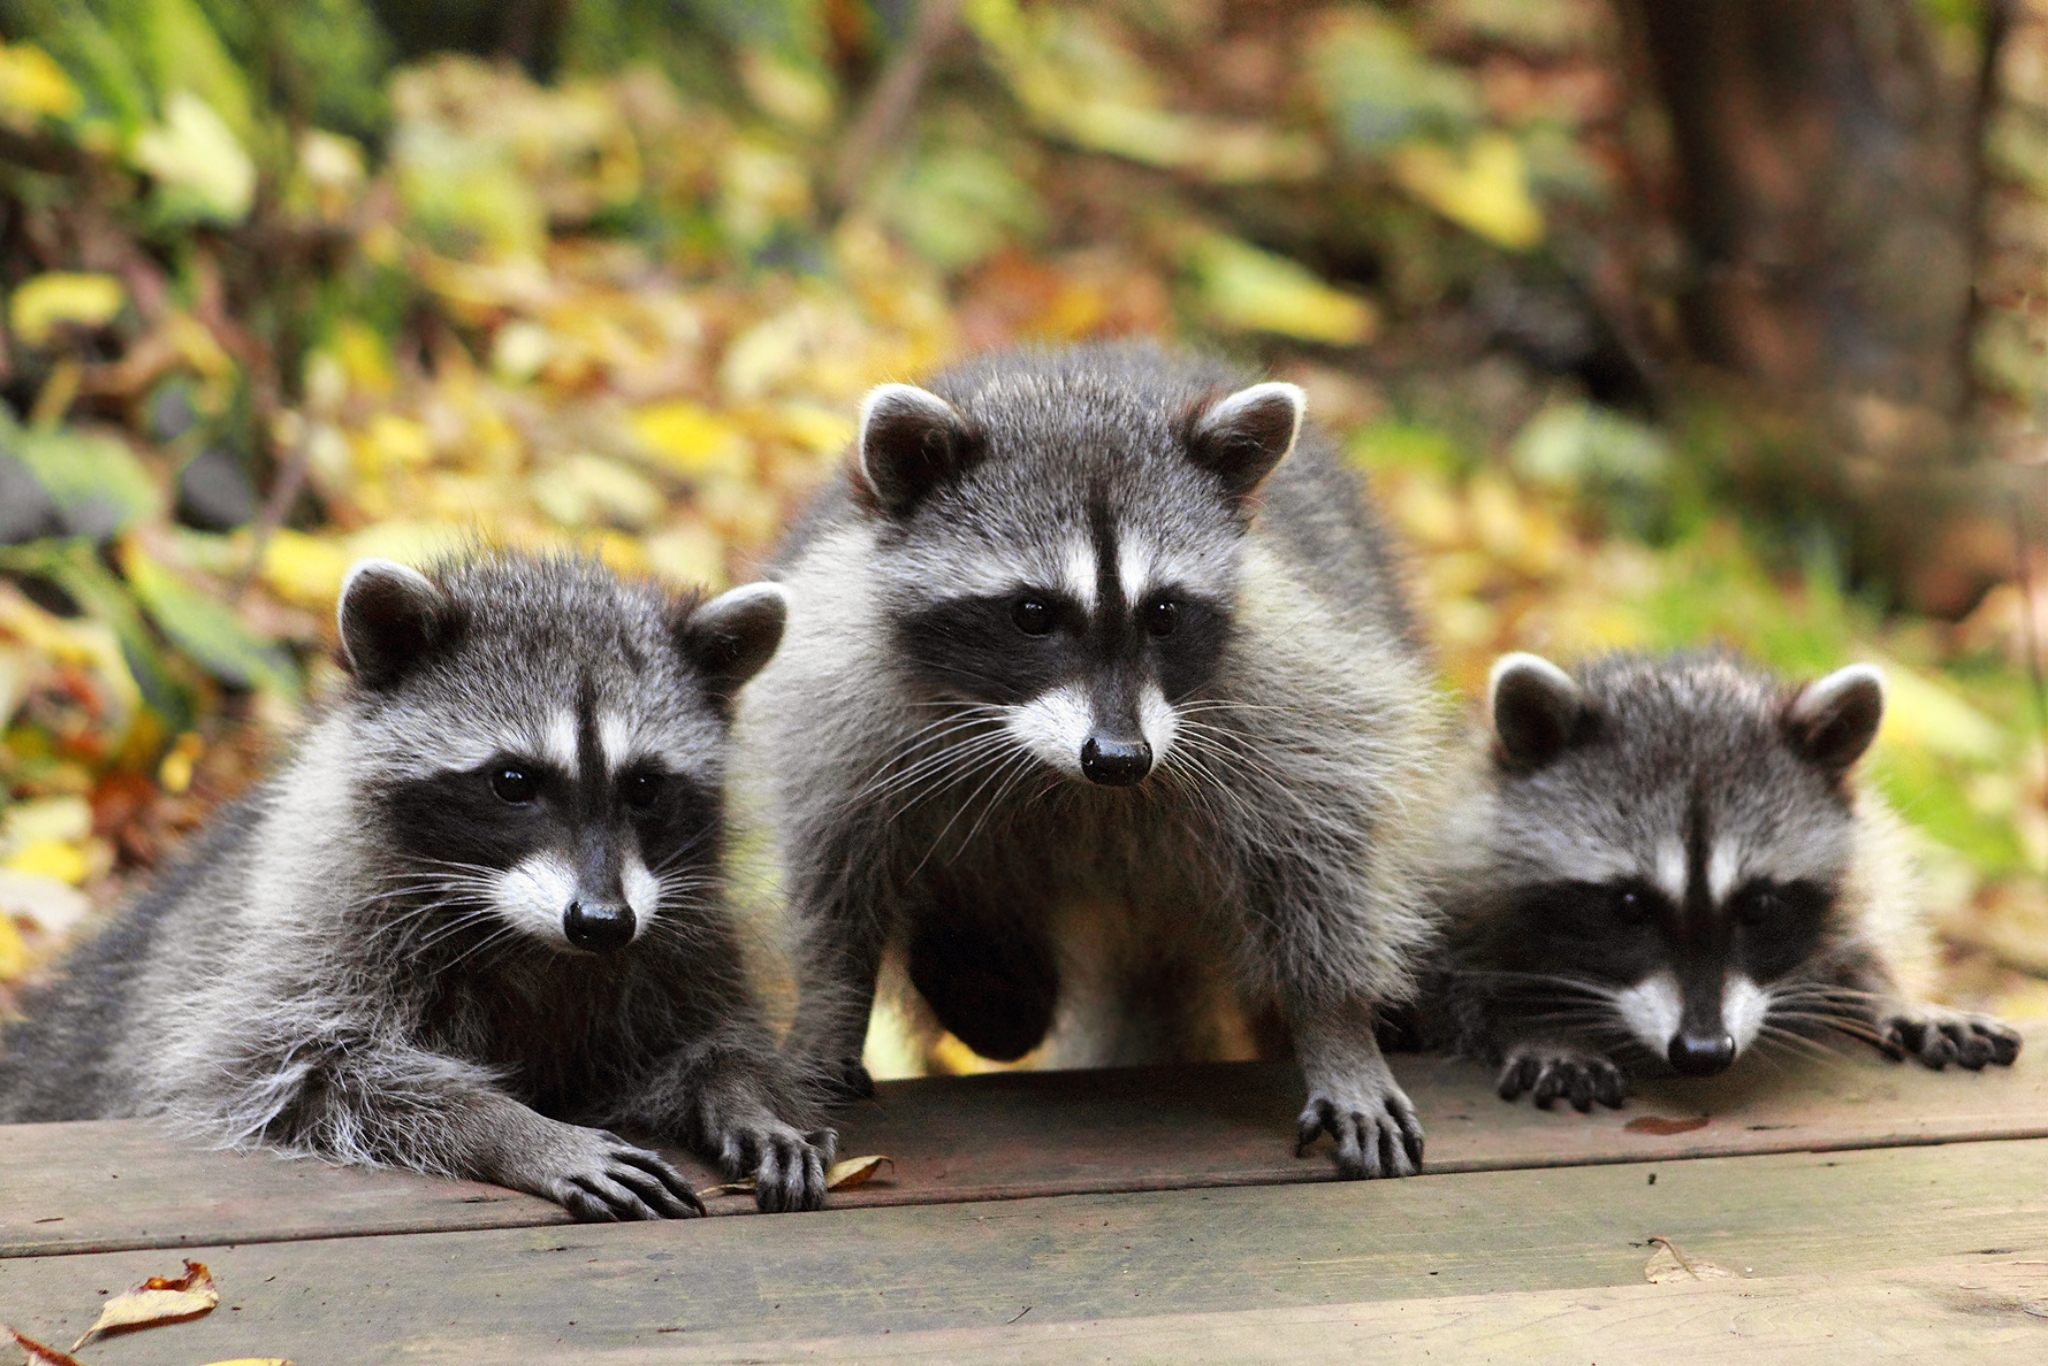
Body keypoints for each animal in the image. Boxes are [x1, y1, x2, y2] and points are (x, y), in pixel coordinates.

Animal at [0, 553, 836, 1216]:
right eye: (513, 782)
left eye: (644, 787)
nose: (602, 922)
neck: (533, 938)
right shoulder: (321, 925)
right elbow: (306, 1070)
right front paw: (514, 1129)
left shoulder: (679, 931)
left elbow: (705, 1040)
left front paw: (739, 1093)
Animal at [746, 343, 1448, 1179]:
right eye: (1031, 614)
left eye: (1165, 612)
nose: (1120, 758)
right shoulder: (836, 695)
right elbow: (835, 872)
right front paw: (831, 1008)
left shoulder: (1293, 689)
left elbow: (1322, 848)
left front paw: (1337, 1025)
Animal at [1427, 651, 2021, 1111]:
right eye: (1629, 905)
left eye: (1758, 906)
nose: (1703, 1052)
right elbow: (1461, 985)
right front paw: (1538, 1026)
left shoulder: (1865, 858)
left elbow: (1861, 931)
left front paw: (1892, 992)